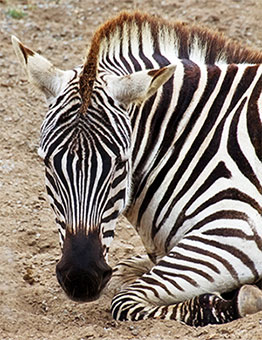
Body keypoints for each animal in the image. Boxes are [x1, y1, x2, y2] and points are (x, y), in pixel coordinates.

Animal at [11, 11, 262, 326]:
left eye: (120, 163)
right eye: (47, 163)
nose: (81, 278)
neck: (196, 135)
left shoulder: (235, 228)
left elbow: (124, 300)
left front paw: (238, 300)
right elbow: (121, 272)